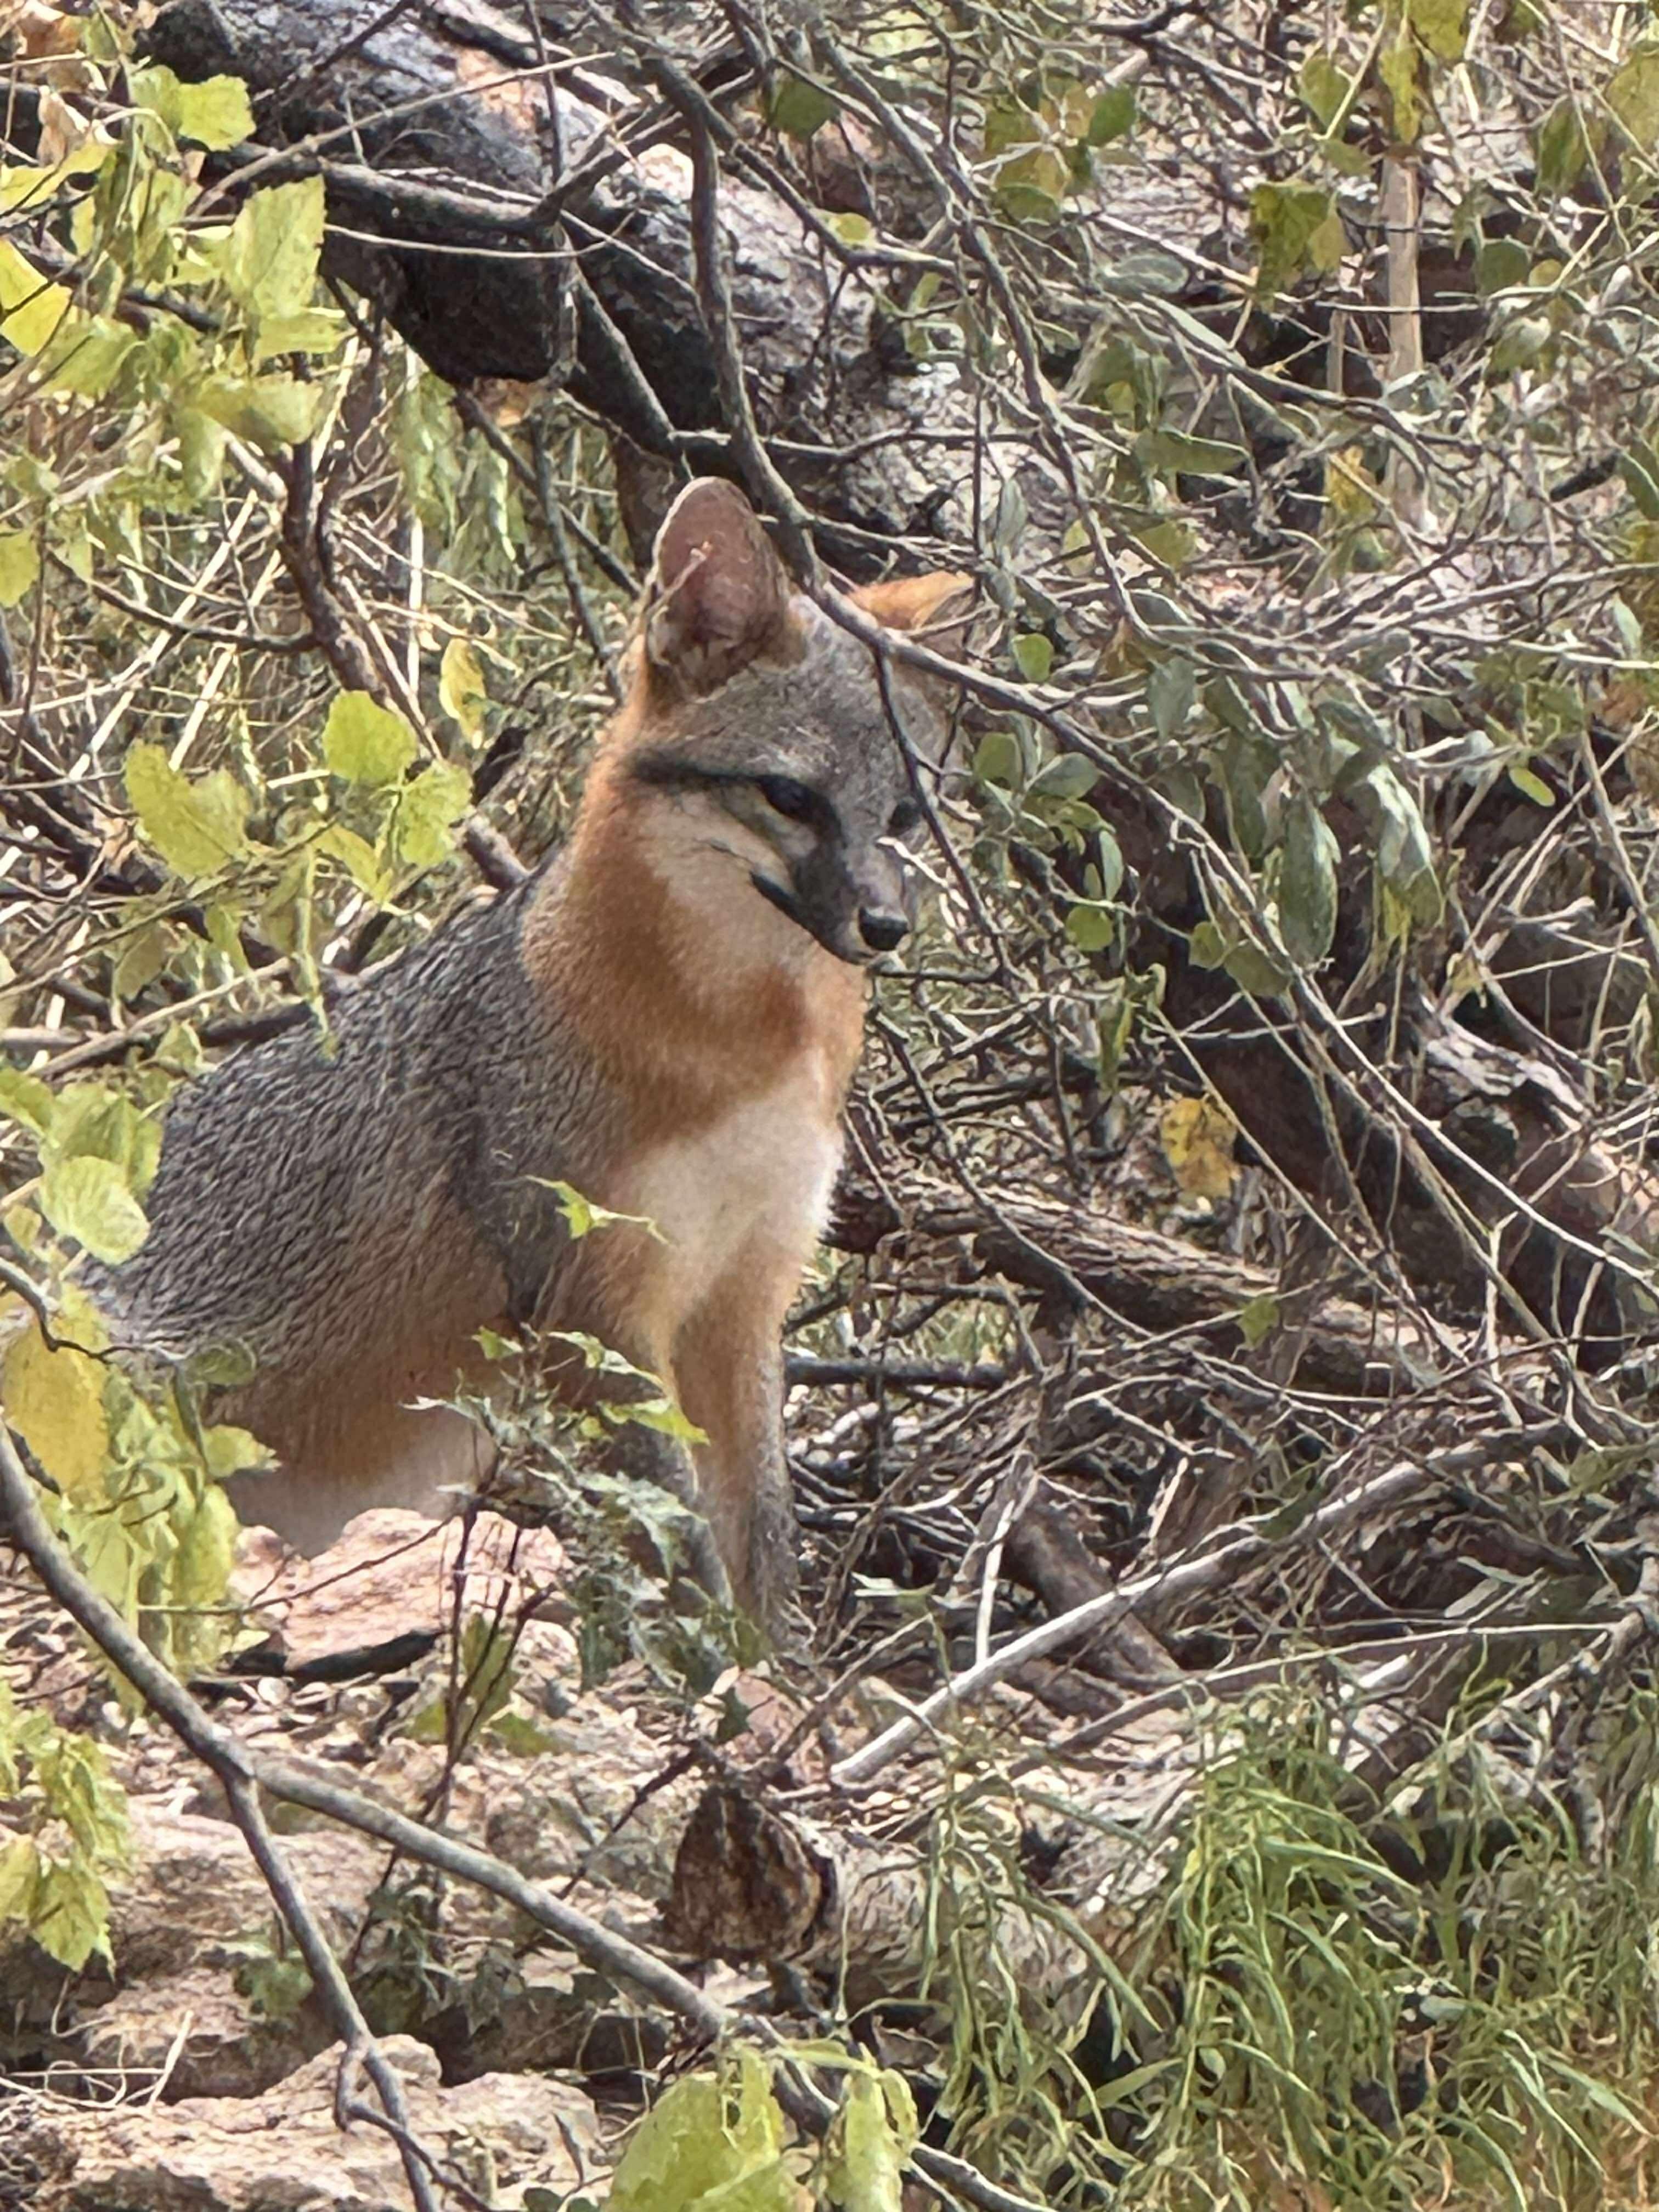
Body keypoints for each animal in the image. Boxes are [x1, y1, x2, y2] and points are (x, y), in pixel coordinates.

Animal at [91, 479, 969, 1634]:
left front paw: (786, 1666)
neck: (749, 1055)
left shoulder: (743, 1300)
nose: (884, 925)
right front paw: (721, 1669)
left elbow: (763, 1544)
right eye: (789, 798)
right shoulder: (590, 1304)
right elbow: (682, 1547)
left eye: (905, 814)